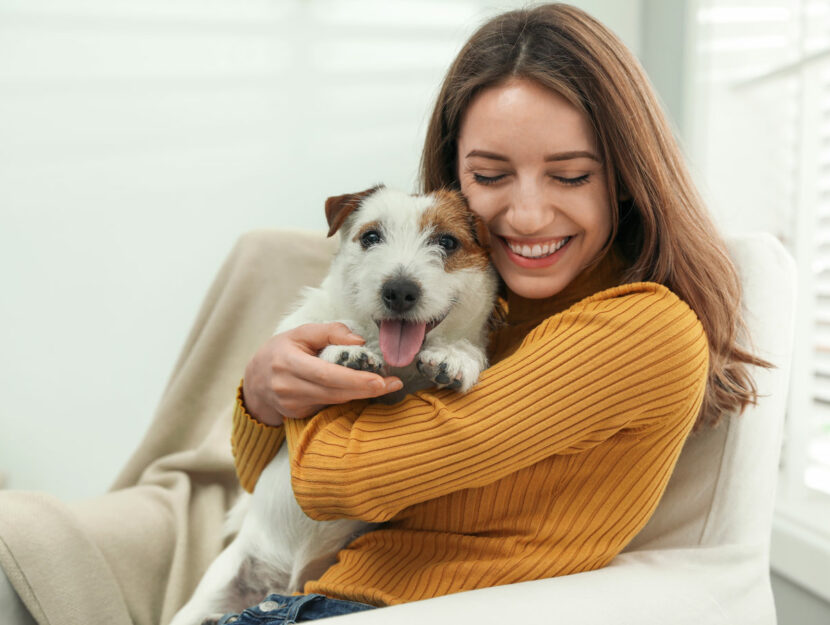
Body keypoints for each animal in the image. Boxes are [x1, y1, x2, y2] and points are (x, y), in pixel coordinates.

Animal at [171, 185, 498, 624]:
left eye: (447, 242)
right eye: (371, 236)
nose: (399, 290)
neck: (395, 362)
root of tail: (282, 584)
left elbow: (465, 350)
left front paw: (456, 357)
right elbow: (327, 331)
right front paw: (346, 350)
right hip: (214, 590)